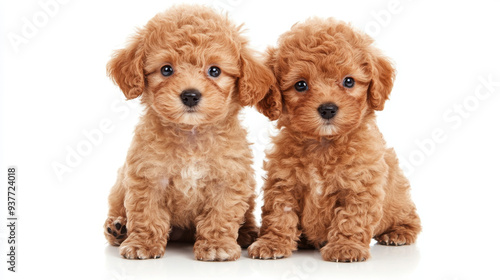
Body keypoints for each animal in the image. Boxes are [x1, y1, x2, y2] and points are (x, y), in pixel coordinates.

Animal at [102, 5, 274, 262]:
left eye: (214, 71)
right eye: (166, 69)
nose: (190, 95)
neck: (191, 134)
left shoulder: (228, 179)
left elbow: (220, 216)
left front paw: (216, 245)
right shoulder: (148, 176)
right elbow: (147, 213)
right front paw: (143, 243)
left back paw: (247, 233)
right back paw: (118, 228)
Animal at [248, 18, 420, 262]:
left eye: (349, 82)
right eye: (300, 85)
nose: (328, 109)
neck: (324, 143)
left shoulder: (360, 186)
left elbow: (351, 218)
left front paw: (345, 247)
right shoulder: (284, 183)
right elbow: (279, 214)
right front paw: (272, 243)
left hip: (399, 199)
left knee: (409, 217)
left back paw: (398, 233)